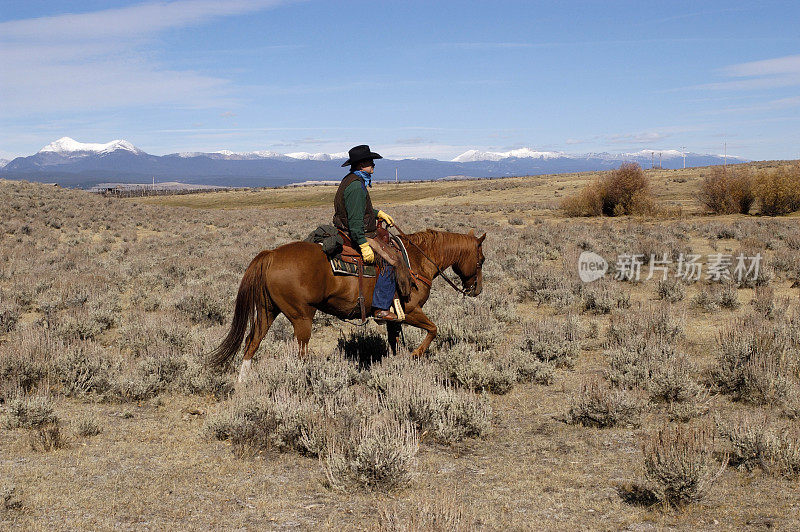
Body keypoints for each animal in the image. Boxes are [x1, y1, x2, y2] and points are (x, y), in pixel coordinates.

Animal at [203, 227, 484, 380]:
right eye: (481, 260)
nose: (477, 290)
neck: (416, 260)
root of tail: (271, 255)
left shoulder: (392, 317)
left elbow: (393, 341)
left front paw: (396, 363)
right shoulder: (412, 310)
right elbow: (433, 329)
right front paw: (415, 354)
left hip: (267, 311)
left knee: (253, 341)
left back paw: (243, 382)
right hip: (302, 317)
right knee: (300, 352)